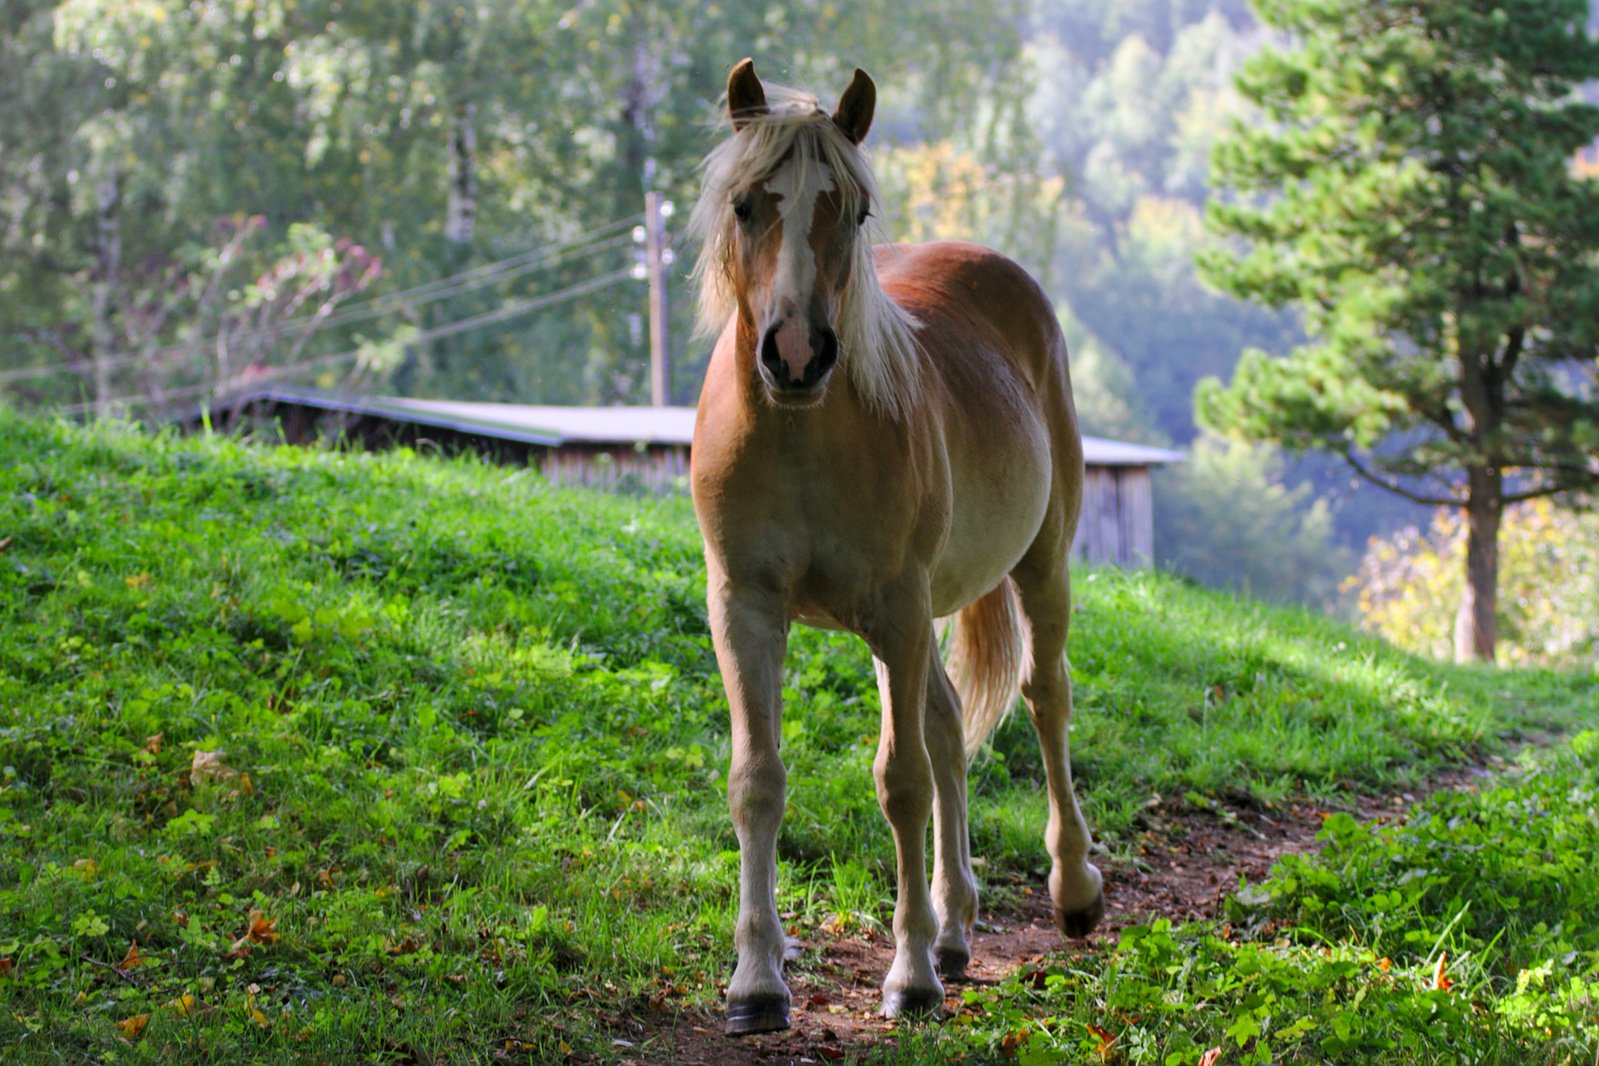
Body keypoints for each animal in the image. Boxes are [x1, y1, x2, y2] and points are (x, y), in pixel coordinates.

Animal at [687, 58, 1100, 1035]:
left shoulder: (898, 611)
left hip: (1036, 565)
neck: (800, 436)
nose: (797, 354)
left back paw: (1071, 889)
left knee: (1044, 698)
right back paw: (954, 927)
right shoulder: (745, 609)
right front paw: (756, 982)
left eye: (854, 209)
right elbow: (757, 781)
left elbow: (901, 781)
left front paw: (908, 978)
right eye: (745, 206)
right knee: (950, 724)